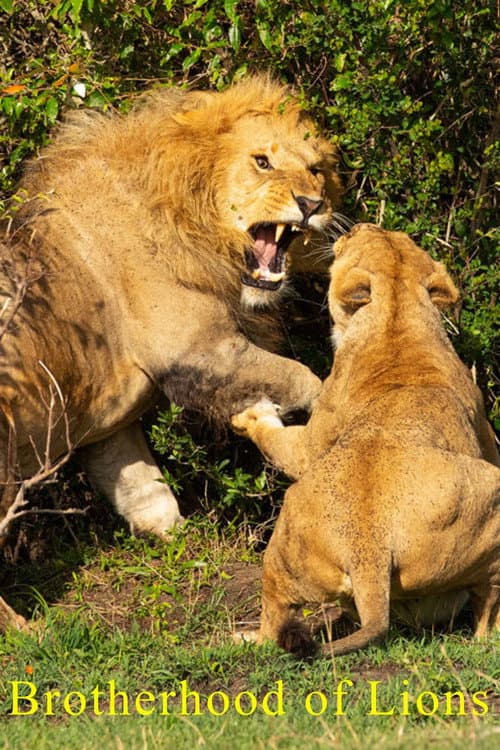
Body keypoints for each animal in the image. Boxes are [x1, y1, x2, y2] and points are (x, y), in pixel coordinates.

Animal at [0, 76, 343, 630]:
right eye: (262, 161)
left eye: (316, 169)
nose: (312, 204)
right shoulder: (201, 351)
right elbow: (305, 379)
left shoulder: (106, 426)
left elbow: (149, 495)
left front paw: (184, 550)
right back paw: (26, 631)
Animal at [233, 224, 500, 656]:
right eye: (395, 235)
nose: (360, 225)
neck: (398, 320)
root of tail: (368, 547)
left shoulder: (311, 440)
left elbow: (277, 438)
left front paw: (249, 416)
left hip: (279, 550)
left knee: (274, 626)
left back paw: (246, 637)